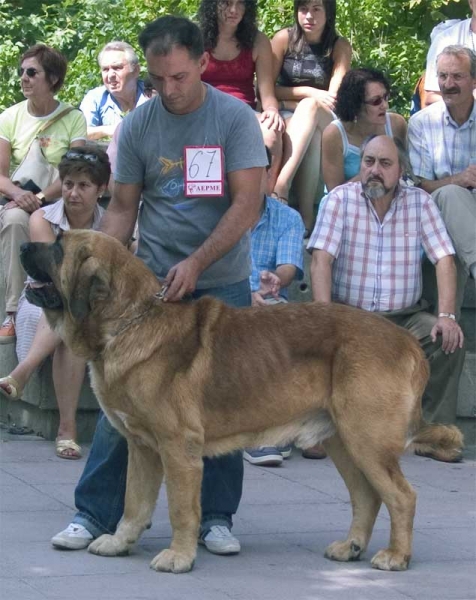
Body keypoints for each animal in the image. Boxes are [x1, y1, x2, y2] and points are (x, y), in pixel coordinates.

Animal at [20, 230, 462, 572]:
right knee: (367, 496)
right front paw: (119, 541)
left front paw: (178, 558)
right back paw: (350, 547)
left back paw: (395, 556)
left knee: (402, 496)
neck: (130, 320)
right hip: (344, 441)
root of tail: (407, 340)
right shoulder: (142, 447)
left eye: (57, 246)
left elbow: (181, 508)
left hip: (366, 440)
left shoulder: (178, 449)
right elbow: (134, 502)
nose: (24, 244)